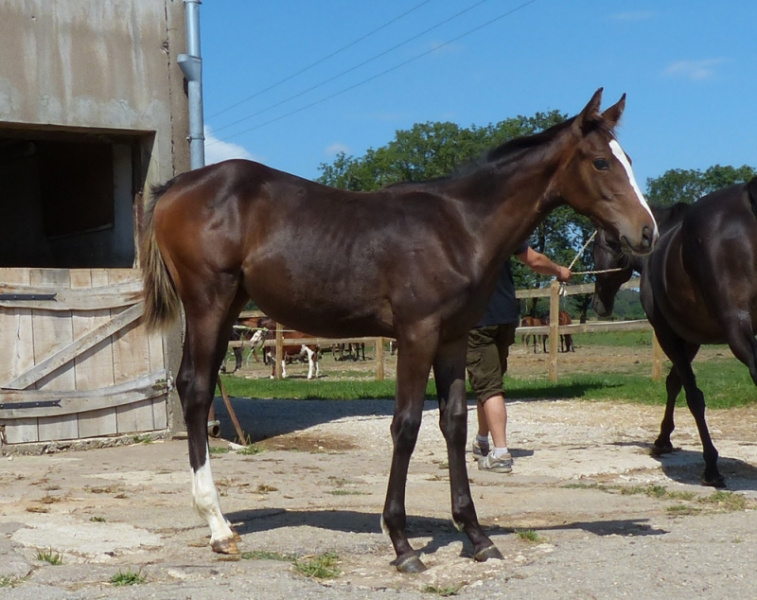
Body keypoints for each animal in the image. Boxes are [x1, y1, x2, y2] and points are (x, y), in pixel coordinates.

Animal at [140, 89, 656, 572]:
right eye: (602, 161)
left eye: (629, 160)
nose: (647, 232)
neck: (460, 227)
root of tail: (176, 186)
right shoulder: (417, 335)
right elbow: (405, 426)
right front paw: (402, 542)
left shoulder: (451, 340)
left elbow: (454, 423)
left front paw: (476, 535)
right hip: (209, 304)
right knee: (197, 390)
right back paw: (217, 526)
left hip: (227, 307)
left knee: (193, 385)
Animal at [592, 175, 756, 488]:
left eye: (596, 247)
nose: (597, 304)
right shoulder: (689, 341)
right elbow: (674, 384)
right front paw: (662, 439)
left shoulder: (668, 334)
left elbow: (692, 396)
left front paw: (711, 467)